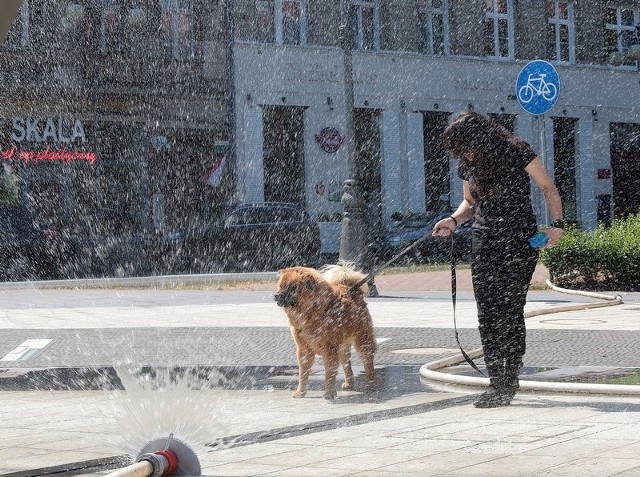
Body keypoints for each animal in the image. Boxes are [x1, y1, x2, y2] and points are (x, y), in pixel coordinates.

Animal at [274, 264, 376, 398]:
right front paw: (300, 392)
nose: (276, 295)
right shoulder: (304, 350)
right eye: (280, 286)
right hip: (343, 347)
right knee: (347, 364)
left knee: (368, 362)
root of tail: (352, 290)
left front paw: (329, 393)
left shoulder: (329, 349)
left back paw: (371, 385)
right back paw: (349, 383)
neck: (310, 312)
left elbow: (329, 373)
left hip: (362, 340)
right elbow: (303, 373)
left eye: (292, 288)